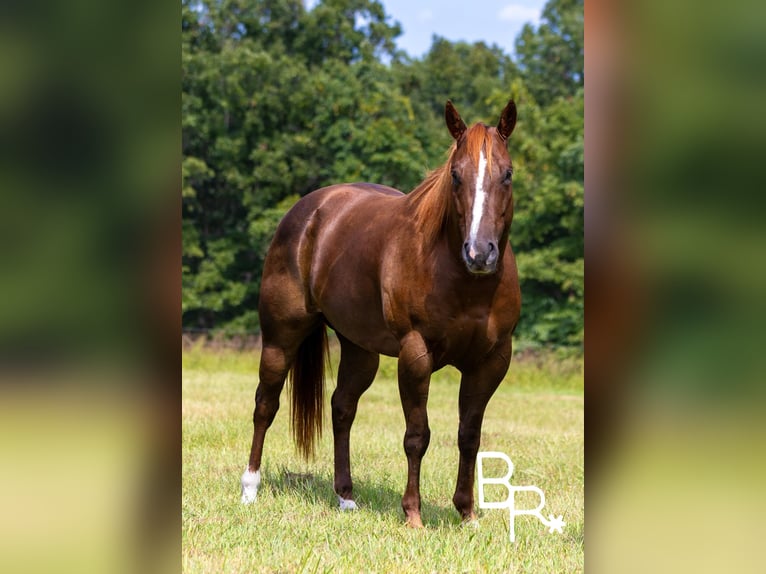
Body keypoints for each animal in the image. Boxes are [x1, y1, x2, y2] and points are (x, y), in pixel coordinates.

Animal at [243, 100, 524, 532]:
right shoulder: (415, 354)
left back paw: (346, 497)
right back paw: (250, 488)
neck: (463, 280)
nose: (479, 253)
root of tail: (309, 210)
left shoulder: (492, 362)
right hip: (280, 338)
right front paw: (413, 514)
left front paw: (467, 514)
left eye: (507, 174)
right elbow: (417, 435)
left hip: (361, 350)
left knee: (342, 408)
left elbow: (469, 435)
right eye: (455, 175)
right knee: (265, 404)